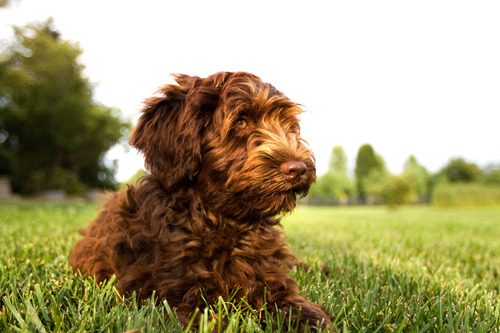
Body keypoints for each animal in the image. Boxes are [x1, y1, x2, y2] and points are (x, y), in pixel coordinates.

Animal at [67, 71, 332, 328]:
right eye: (241, 121)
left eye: (289, 125)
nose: (298, 169)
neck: (222, 219)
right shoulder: (169, 292)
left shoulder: (270, 279)